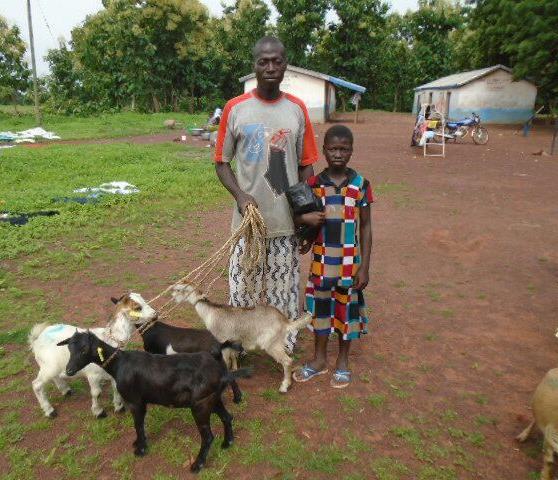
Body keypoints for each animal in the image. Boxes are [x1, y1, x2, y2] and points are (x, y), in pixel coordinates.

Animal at [30, 290, 158, 418]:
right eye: (137, 308)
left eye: (145, 301)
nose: (155, 314)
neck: (108, 340)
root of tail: (37, 338)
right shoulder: (93, 375)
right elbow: (97, 393)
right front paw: (99, 412)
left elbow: (115, 389)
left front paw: (119, 407)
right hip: (48, 366)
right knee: (37, 384)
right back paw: (49, 411)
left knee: (55, 377)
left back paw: (66, 390)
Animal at [58, 330, 248, 472]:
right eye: (69, 349)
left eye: (84, 350)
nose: (69, 370)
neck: (119, 364)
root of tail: (221, 374)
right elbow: (139, 425)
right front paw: (138, 443)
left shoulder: (136, 401)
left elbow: (138, 424)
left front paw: (140, 449)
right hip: (212, 400)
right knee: (227, 417)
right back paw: (227, 443)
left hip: (200, 406)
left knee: (208, 436)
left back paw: (197, 465)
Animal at [173, 284, 312, 392]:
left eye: (180, 289)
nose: (173, 296)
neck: (211, 313)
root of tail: (285, 322)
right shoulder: (232, 341)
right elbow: (233, 356)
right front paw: (235, 369)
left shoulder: (221, 341)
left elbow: (225, 361)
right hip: (278, 342)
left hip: (271, 344)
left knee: (287, 361)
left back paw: (284, 387)